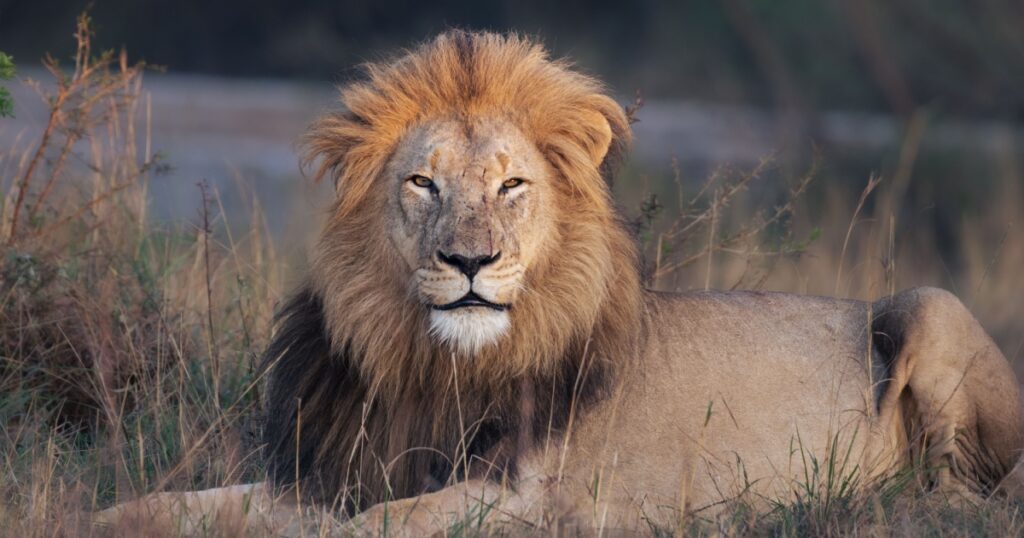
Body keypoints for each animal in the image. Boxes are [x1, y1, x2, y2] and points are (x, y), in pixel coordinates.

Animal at [96, 31, 1024, 535]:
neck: (434, 369)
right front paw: (103, 518)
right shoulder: (336, 469)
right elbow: (190, 502)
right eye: (422, 183)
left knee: (973, 496)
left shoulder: (539, 499)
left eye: (512, 185)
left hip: (931, 308)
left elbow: (381, 525)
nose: (469, 262)